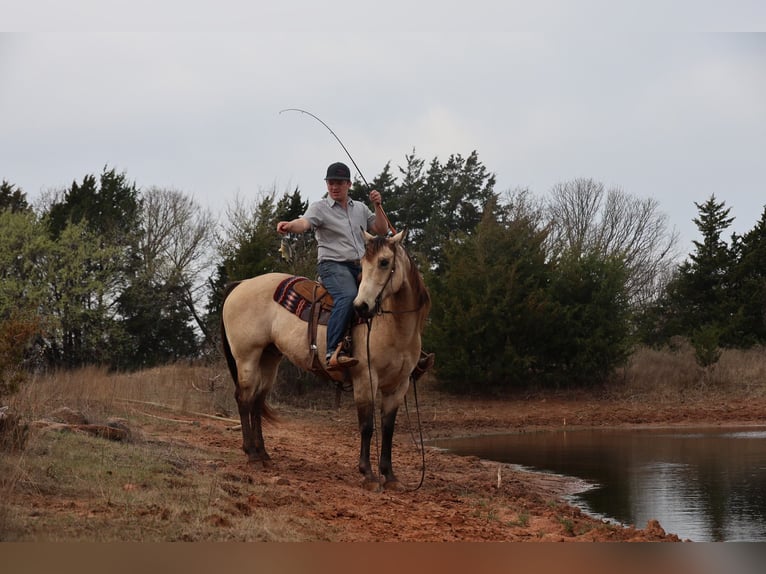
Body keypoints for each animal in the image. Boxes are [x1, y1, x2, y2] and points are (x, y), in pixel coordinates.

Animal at [220, 229, 431, 490]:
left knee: (258, 402)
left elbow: (388, 428)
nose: (361, 307)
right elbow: (367, 425)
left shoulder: (399, 385)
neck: (394, 327)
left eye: (384, 262)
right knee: (245, 399)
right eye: (363, 263)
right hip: (247, 357)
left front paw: (390, 476)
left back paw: (263, 455)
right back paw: (251, 455)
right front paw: (368, 474)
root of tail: (241, 284)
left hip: (269, 359)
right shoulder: (365, 378)